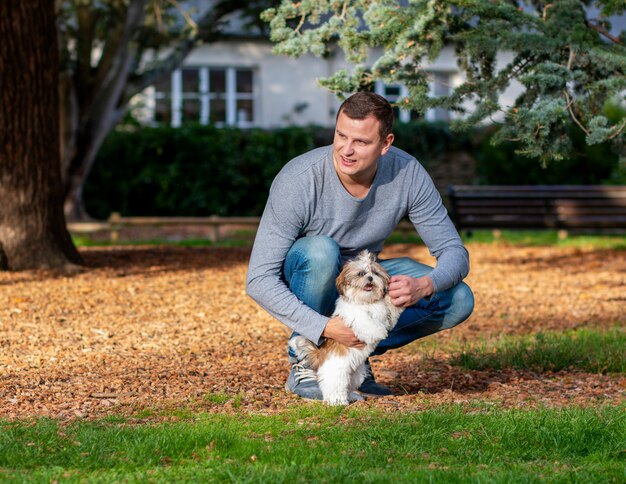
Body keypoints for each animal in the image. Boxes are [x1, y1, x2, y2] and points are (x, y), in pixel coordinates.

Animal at [290, 250, 402, 404]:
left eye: (375, 273)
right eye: (361, 273)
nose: (370, 278)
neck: (366, 302)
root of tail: (320, 354)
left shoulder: (385, 315)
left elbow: (390, 310)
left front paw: (396, 298)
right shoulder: (352, 316)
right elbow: (365, 321)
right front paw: (378, 332)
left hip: (356, 375)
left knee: (348, 386)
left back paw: (351, 396)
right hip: (336, 372)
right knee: (334, 387)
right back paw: (337, 402)